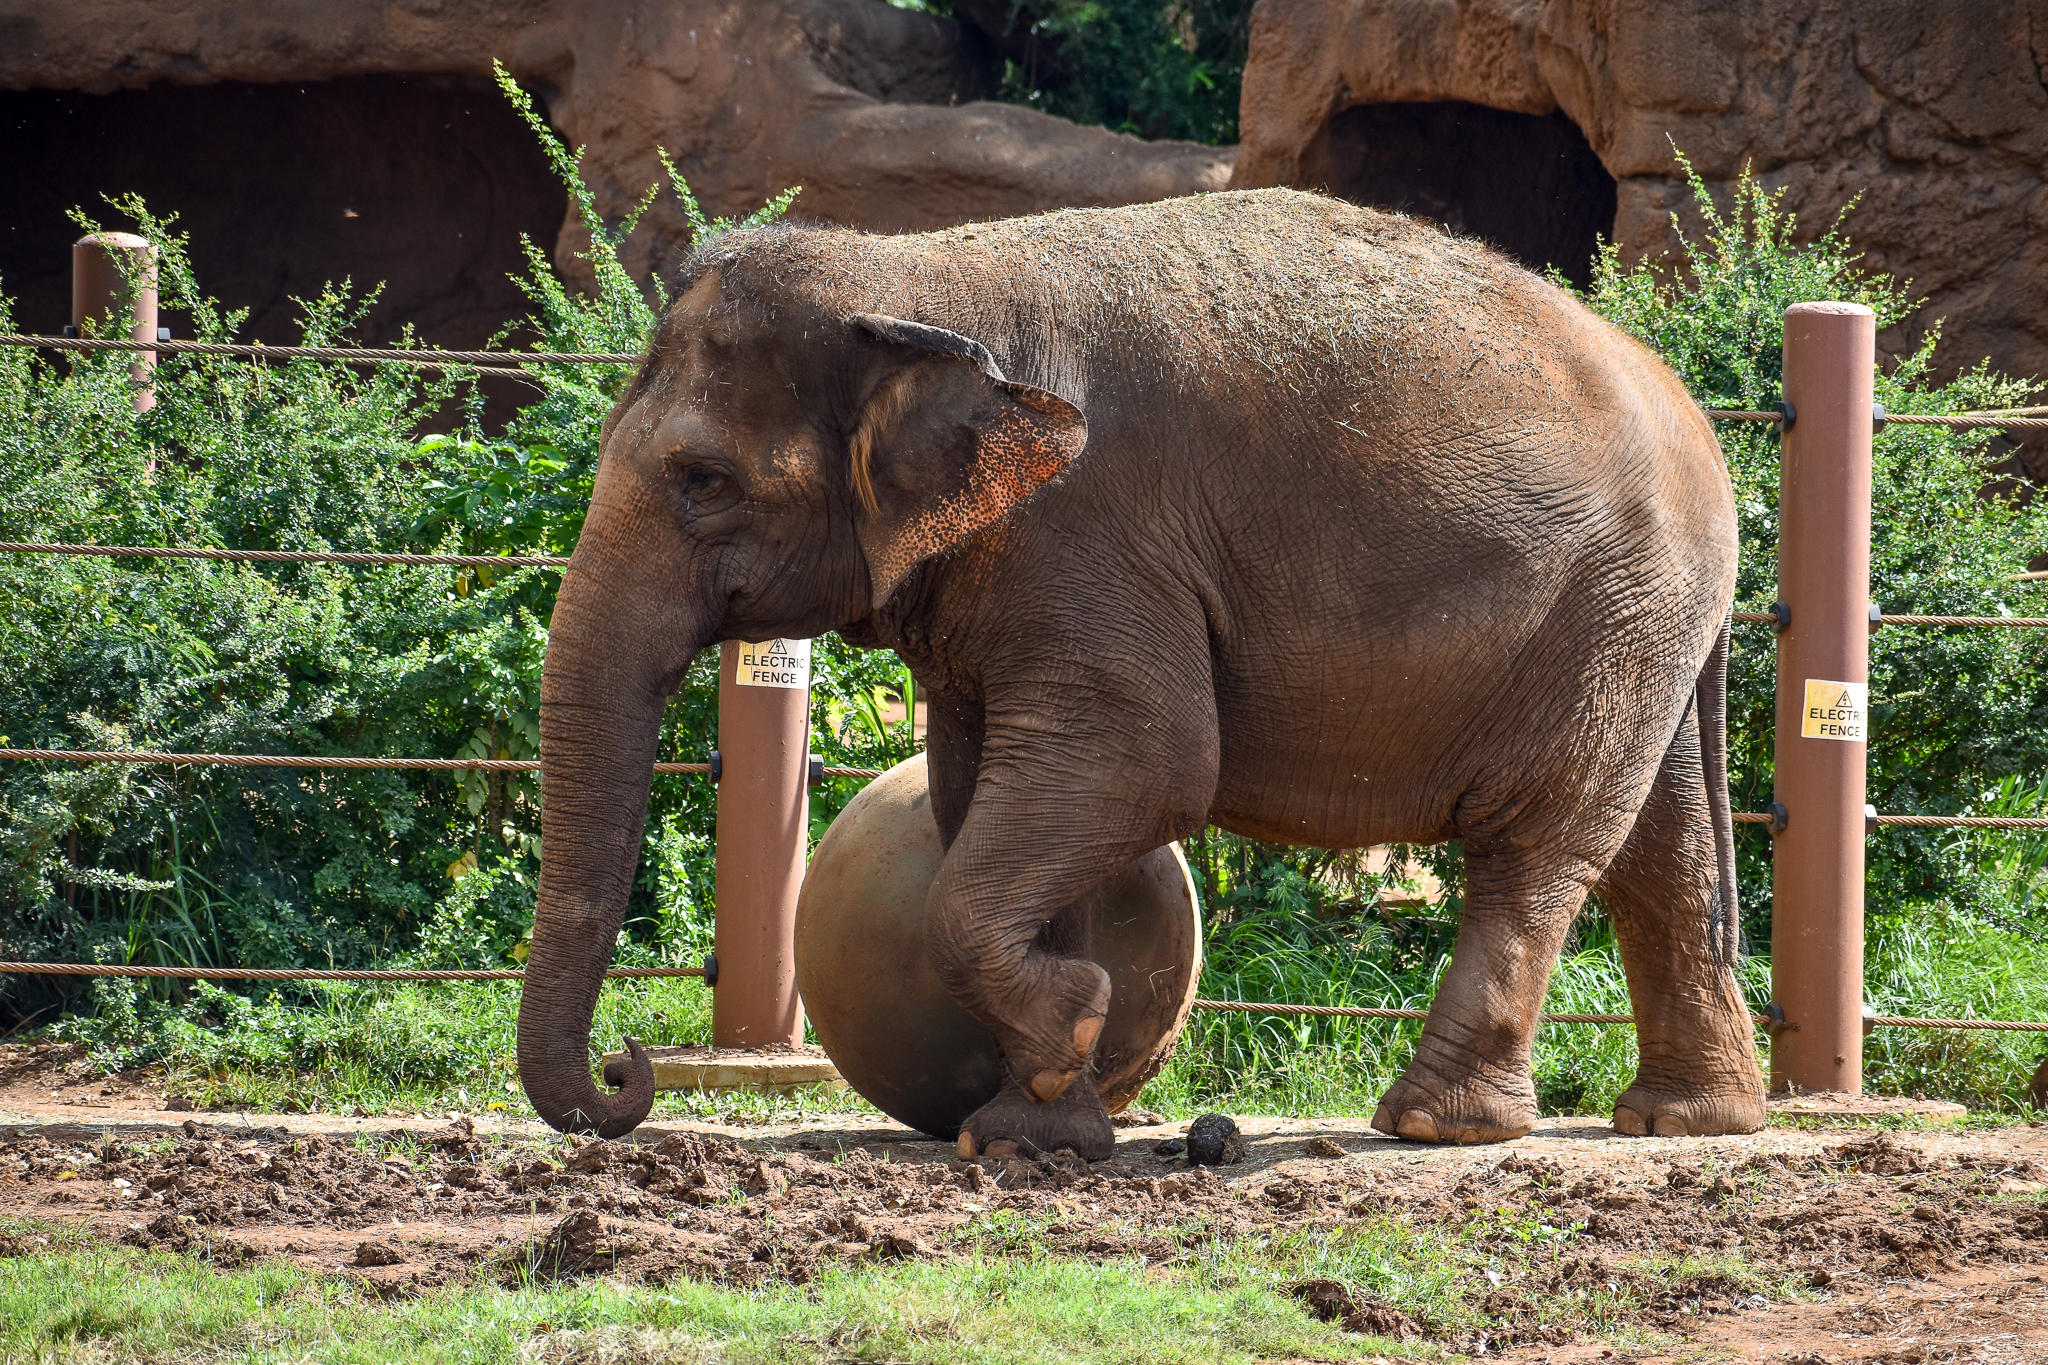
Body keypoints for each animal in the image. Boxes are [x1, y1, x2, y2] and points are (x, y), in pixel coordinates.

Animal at [516, 186, 1766, 1155]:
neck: (919, 272)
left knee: (1538, 843)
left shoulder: (1089, 534)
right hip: (1636, 623)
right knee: (1656, 844)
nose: (627, 1075)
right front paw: (1035, 1127)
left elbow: (1140, 764)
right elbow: (982, 791)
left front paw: (1068, 1035)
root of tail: (1698, 421)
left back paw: (1434, 1125)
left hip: (1607, 605)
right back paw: (1688, 1122)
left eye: (703, 481)